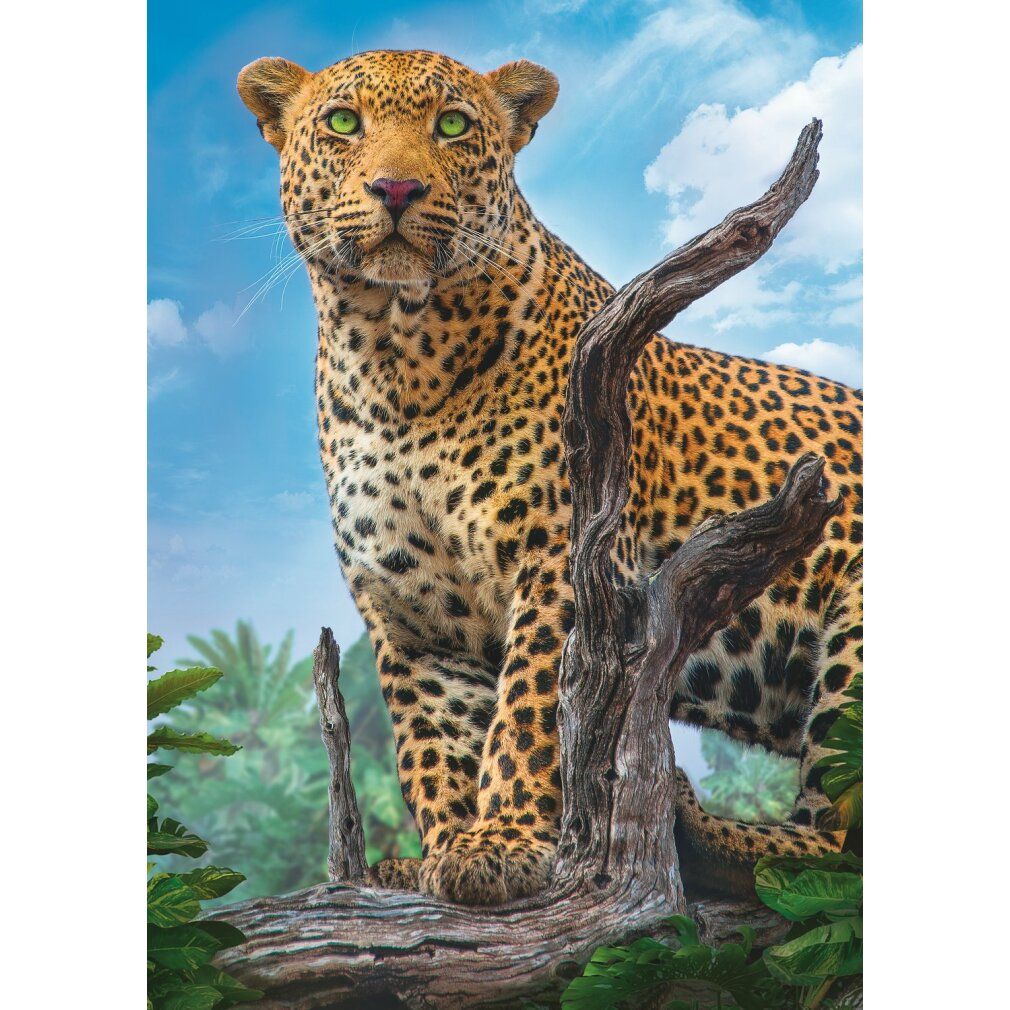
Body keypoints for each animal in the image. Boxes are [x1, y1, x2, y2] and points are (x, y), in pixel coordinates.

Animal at [237, 48, 863, 906]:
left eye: (452, 125)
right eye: (342, 123)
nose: (396, 189)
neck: (395, 358)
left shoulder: (566, 562)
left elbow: (533, 711)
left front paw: (504, 841)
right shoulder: (411, 615)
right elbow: (433, 745)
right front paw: (441, 851)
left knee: (836, 844)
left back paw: (698, 828)